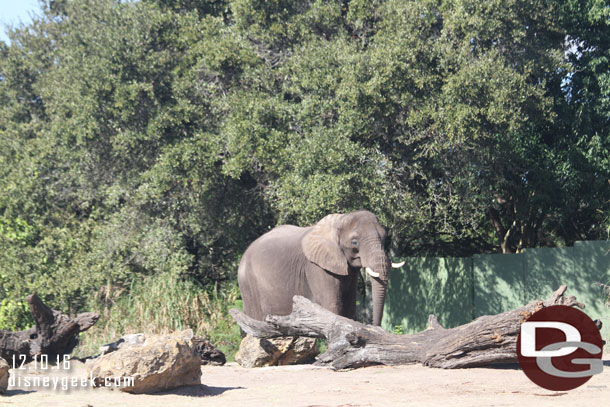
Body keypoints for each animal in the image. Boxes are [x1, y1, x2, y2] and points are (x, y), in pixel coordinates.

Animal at [238, 212, 404, 326]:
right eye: (355, 242)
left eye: (385, 239)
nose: (375, 327)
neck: (341, 219)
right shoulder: (316, 267)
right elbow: (331, 305)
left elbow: (349, 308)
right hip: (248, 284)